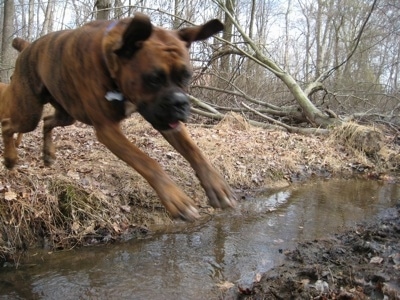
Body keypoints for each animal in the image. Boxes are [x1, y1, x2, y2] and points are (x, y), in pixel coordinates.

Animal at [2, 13, 234, 220]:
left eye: (186, 76)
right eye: (153, 79)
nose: (180, 103)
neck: (111, 61)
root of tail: (27, 46)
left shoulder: (168, 123)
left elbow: (194, 150)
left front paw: (216, 185)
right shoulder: (108, 130)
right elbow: (147, 162)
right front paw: (175, 197)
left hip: (67, 114)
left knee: (47, 121)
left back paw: (48, 153)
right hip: (28, 113)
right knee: (8, 125)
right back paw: (10, 158)